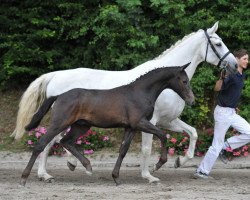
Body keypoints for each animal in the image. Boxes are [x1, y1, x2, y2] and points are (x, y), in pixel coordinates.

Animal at [21, 63, 194, 186]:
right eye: (184, 81)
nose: (191, 100)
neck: (140, 92)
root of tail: (58, 95)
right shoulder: (141, 122)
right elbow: (163, 135)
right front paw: (158, 165)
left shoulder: (131, 127)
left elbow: (123, 150)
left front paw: (116, 177)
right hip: (60, 123)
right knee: (42, 144)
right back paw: (25, 178)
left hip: (81, 126)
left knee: (65, 141)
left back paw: (87, 166)